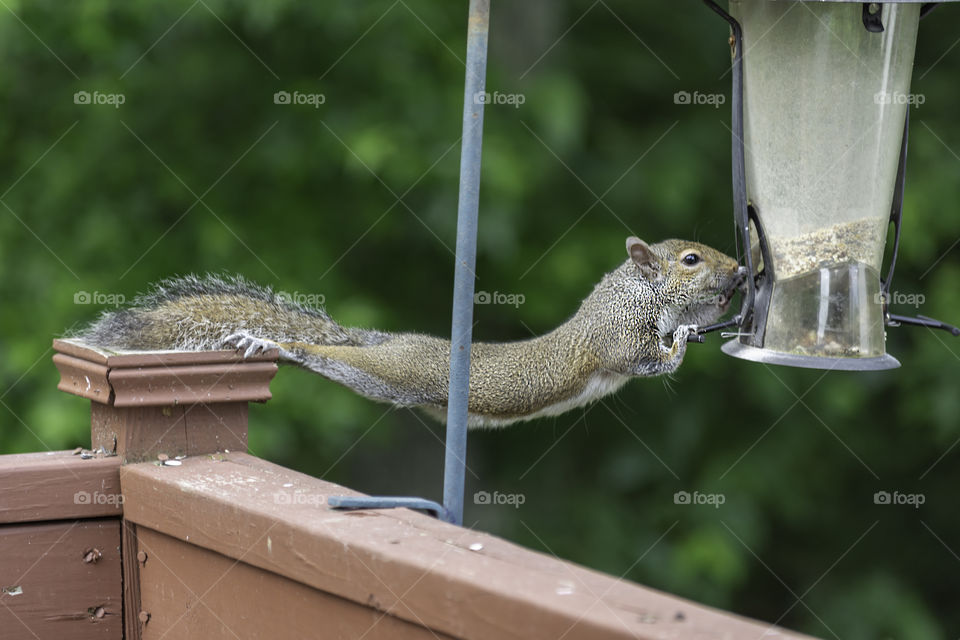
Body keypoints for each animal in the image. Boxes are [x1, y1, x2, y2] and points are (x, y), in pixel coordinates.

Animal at [75, 237, 745, 428]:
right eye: (691, 260)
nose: (740, 271)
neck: (633, 293)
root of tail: (383, 341)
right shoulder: (619, 339)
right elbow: (653, 361)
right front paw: (686, 339)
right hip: (394, 372)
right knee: (319, 352)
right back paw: (273, 343)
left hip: (382, 379)